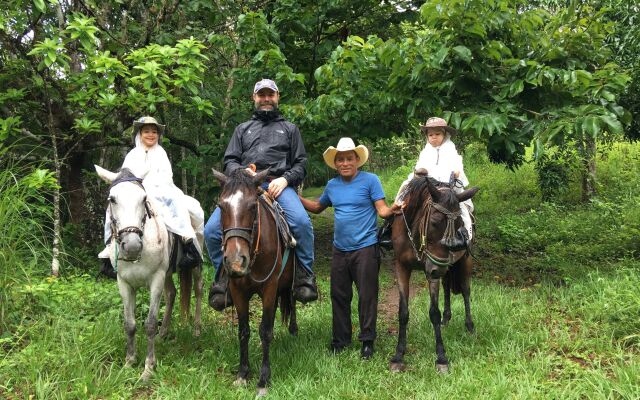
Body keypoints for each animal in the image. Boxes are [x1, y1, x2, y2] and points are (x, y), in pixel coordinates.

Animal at [93, 165, 200, 382]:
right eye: (112, 199)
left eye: (144, 199)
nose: (132, 246)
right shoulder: (124, 284)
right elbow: (130, 324)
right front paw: (129, 362)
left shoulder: (155, 280)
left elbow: (150, 324)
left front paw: (148, 368)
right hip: (167, 274)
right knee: (172, 294)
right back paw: (163, 333)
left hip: (194, 267)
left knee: (199, 291)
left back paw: (196, 329)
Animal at [212, 167, 298, 396]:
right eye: (221, 206)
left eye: (252, 206)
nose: (235, 261)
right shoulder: (237, 291)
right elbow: (244, 331)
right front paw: (243, 374)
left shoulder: (269, 287)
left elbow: (264, 331)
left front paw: (263, 380)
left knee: (293, 300)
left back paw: (294, 330)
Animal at [388, 177, 478, 374]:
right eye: (435, 222)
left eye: (459, 223)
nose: (457, 241)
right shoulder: (401, 267)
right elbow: (403, 312)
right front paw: (399, 355)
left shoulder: (433, 270)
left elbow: (434, 312)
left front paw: (441, 358)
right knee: (447, 287)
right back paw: (447, 319)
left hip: (463, 262)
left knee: (466, 291)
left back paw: (470, 326)